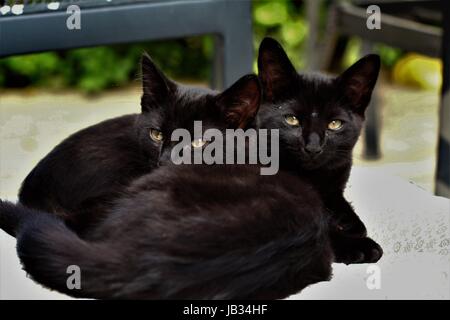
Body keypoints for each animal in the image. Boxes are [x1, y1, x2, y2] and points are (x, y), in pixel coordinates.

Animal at [256, 37, 384, 264]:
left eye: (335, 124)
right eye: (292, 120)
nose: (313, 146)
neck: (312, 178)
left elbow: (338, 201)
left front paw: (351, 222)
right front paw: (359, 244)